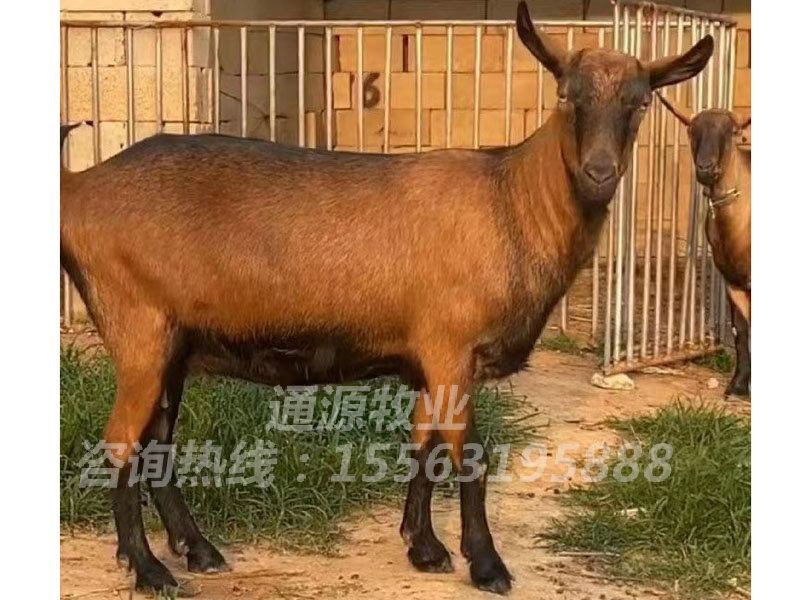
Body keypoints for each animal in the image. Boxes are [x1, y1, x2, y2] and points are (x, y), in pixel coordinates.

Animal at [59, 3, 713, 595]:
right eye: (566, 97)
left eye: (640, 103)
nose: (599, 173)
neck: (510, 201)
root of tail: (79, 190)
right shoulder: (451, 347)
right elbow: (470, 456)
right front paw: (487, 565)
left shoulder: (430, 359)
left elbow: (425, 447)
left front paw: (424, 548)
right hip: (139, 330)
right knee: (121, 444)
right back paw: (149, 569)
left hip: (173, 345)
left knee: (156, 444)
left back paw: (196, 550)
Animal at [656, 92, 750, 398]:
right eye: (691, 130)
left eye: (732, 132)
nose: (706, 169)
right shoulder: (732, 280)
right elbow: (742, 331)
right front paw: (738, 385)